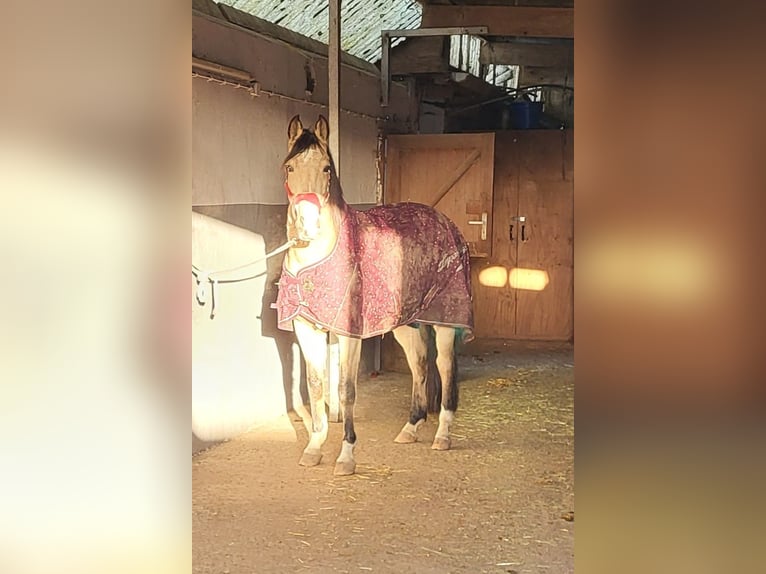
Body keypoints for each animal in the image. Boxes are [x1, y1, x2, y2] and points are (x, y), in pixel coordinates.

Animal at [274, 113, 474, 476]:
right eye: (289, 168)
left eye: (327, 168)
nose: (307, 227)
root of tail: (445, 222)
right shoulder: (306, 330)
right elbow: (315, 386)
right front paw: (313, 448)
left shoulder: (348, 334)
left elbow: (346, 390)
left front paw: (346, 456)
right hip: (406, 323)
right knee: (419, 363)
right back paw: (411, 427)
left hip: (444, 321)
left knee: (445, 367)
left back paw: (442, 435)